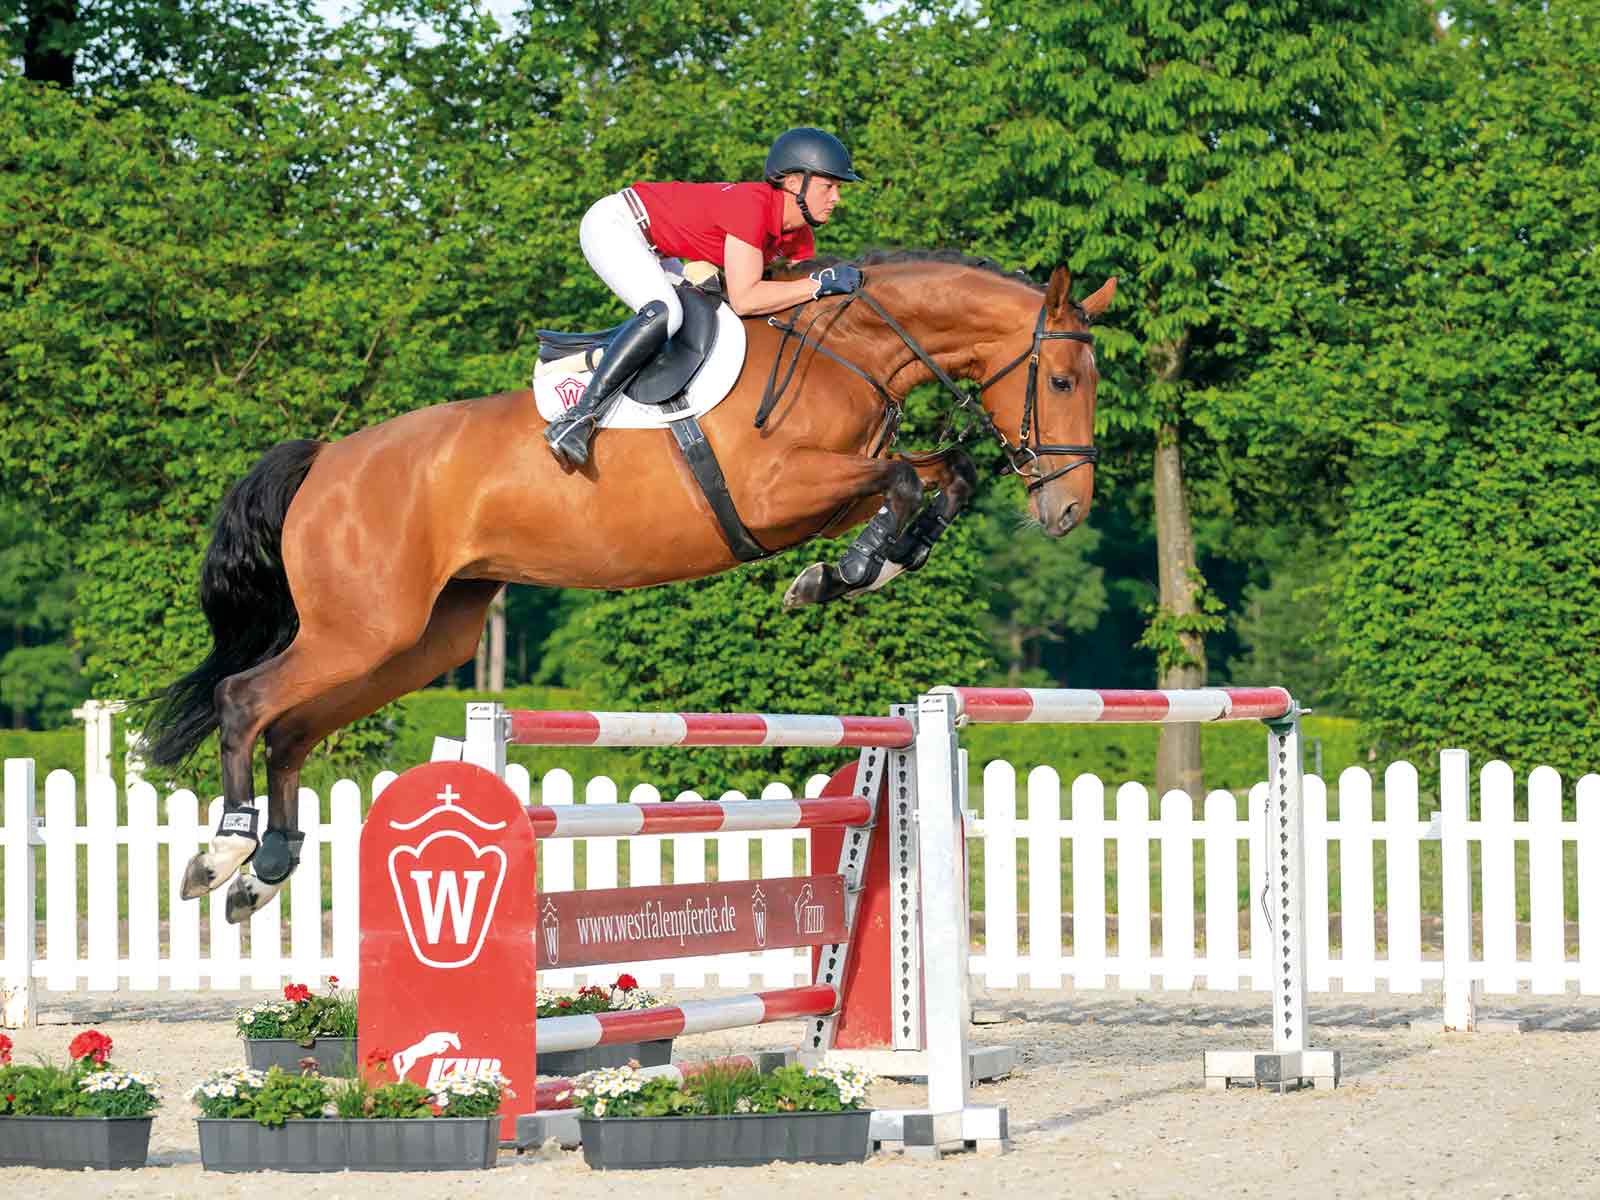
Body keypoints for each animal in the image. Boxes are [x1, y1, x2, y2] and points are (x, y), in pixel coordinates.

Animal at [141, 252, 1115, 922]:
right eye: (1064, 379)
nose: (1068, 510)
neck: (848, 350)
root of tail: (326, 460)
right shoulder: (777, 493)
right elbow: (909, 479)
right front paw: (842, 574)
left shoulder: (827, 489)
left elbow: (941, 474)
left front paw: (859, 569)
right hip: (363, 628)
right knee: (244, 699)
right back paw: (221, 858)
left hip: (418, 641)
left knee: (292, 729)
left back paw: (265, 874)